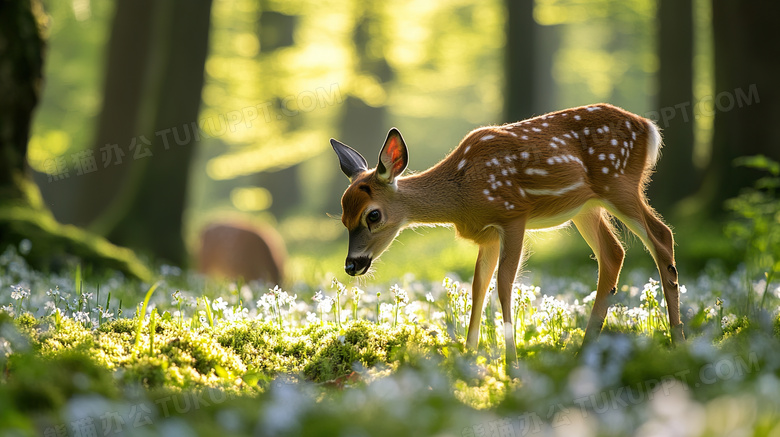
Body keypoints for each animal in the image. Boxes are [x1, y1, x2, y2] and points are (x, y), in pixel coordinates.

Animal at [332, 104, 684, 366]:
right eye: (343, 218)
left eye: (373, 215)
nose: (351, 265)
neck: (461, 193)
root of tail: (649, 128)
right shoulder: (487, 235)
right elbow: (478, 287)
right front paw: (469, 356)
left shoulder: (513, 214)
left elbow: (503, 285)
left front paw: (511, 363)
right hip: (586, 207)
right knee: (613, 252)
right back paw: (586, 350)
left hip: (619, 183)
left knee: (662, 235)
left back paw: (678, 339)